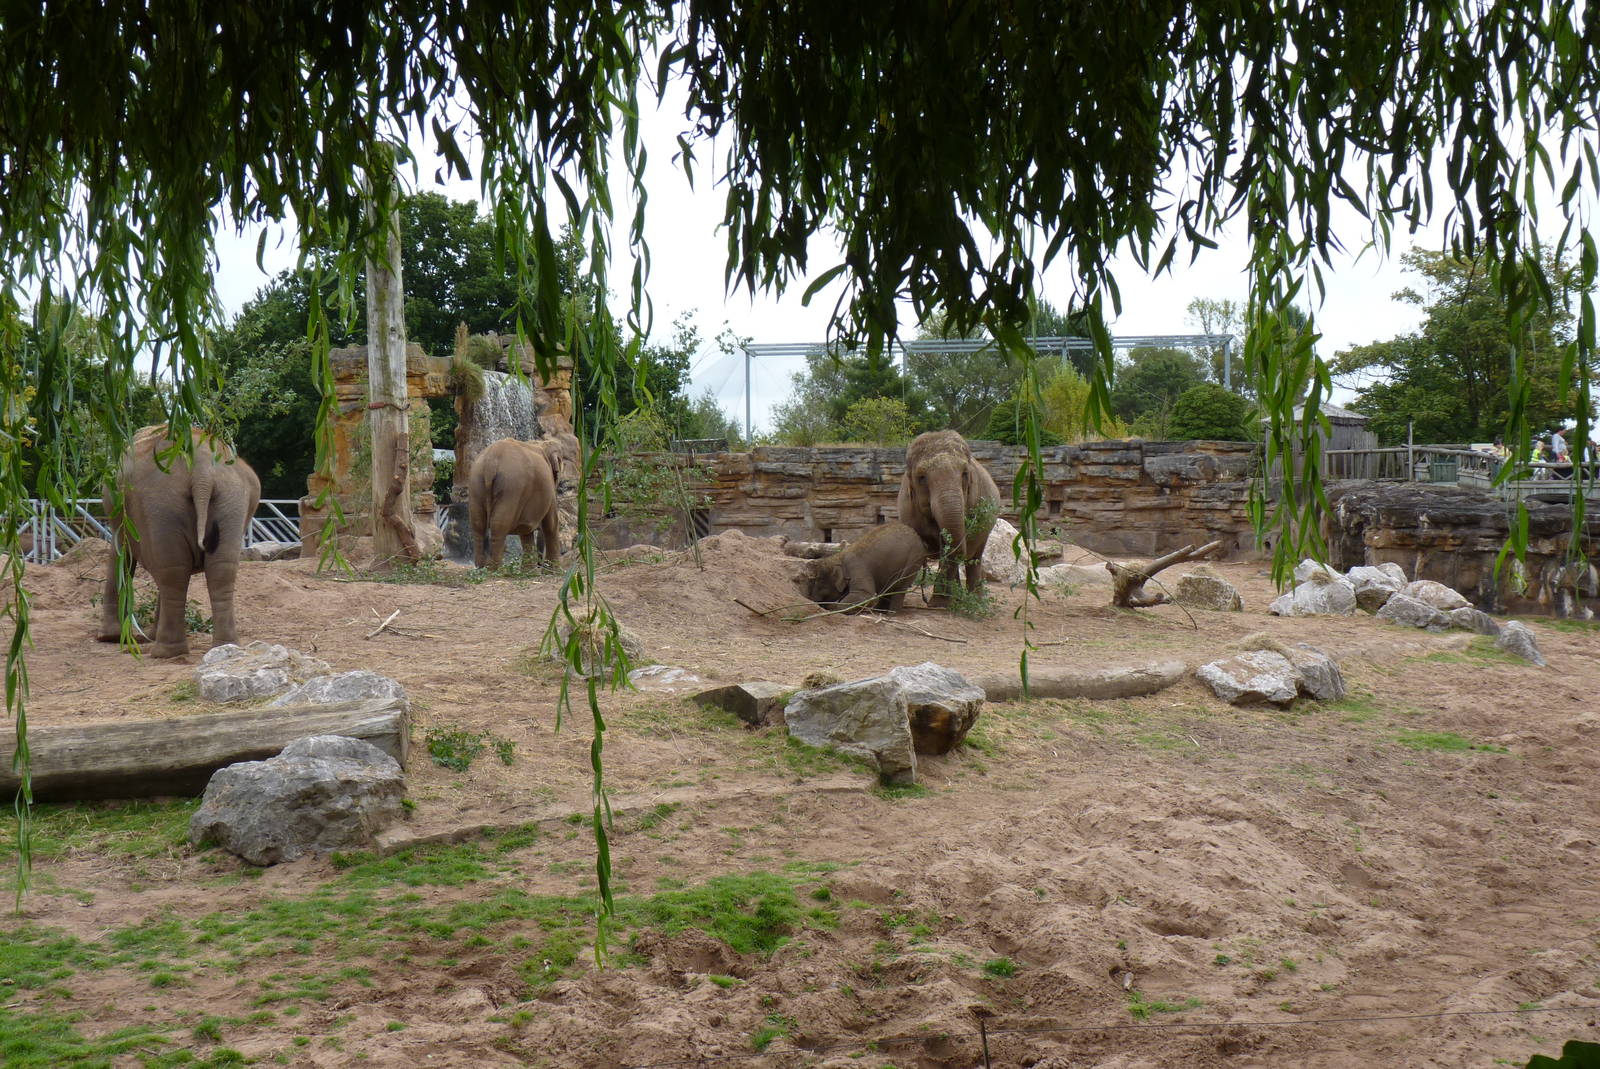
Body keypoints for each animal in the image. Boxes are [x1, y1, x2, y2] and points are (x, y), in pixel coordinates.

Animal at [98, 424, 262, 658]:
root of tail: (202, 470)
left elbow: (122, 555)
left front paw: (110, 638)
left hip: (161, 504)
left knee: (172, 572)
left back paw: (164, 652)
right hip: (231, 500)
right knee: (219, 570)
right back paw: (224, 646)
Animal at [468, 437, 564, 569]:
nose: (540, 564)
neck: (540, 443)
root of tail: (490, 462)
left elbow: (525, 530)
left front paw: (528, 572)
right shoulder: (549, 487)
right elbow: (552, 522)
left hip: (476, 484)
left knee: (478, 524)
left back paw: (480, 567)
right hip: (511, 487)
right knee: (499, 525)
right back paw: (495, 569)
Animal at [897, 429, 1000, 600]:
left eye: (965, 474)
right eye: (921, 478)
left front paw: (939, 602)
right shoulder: (908, 510)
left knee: (975, 557)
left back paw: (974, 600)